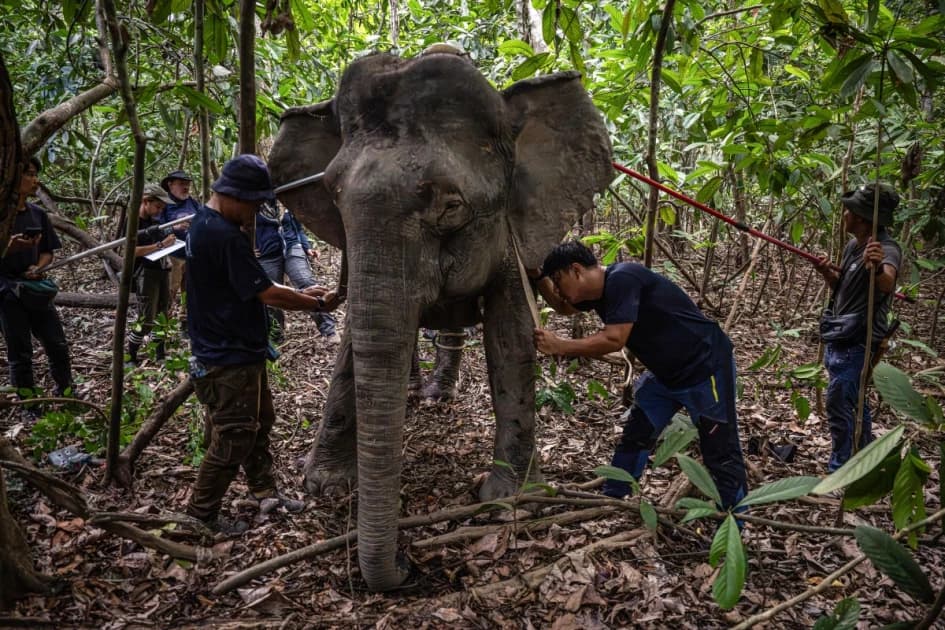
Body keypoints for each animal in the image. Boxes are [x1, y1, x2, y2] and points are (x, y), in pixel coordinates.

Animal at [268, 48, 613, 591]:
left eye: (452, 206)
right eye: (332, 196)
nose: (406, 563)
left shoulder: (514, 236)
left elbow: (511, 338)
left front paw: (510, 501)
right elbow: (355, 344)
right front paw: (323, 483)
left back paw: (437, 396)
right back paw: (419, 394)